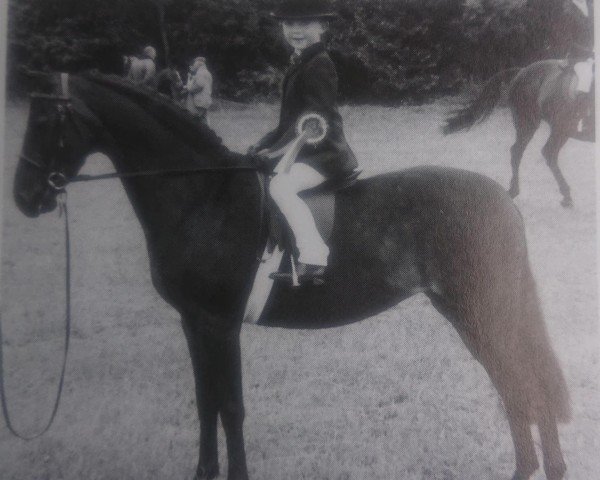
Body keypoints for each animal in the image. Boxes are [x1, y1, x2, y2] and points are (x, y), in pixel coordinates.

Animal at [11, 72, 568, 480]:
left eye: (46, 117)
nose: (25, 197)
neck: (202, 198)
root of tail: (501, 199)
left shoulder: (219, 324)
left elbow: (230, 406)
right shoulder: (194, 323)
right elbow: (206, 403)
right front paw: (204, 471)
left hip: (478, 313)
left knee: (521, 385)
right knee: (522, 385)